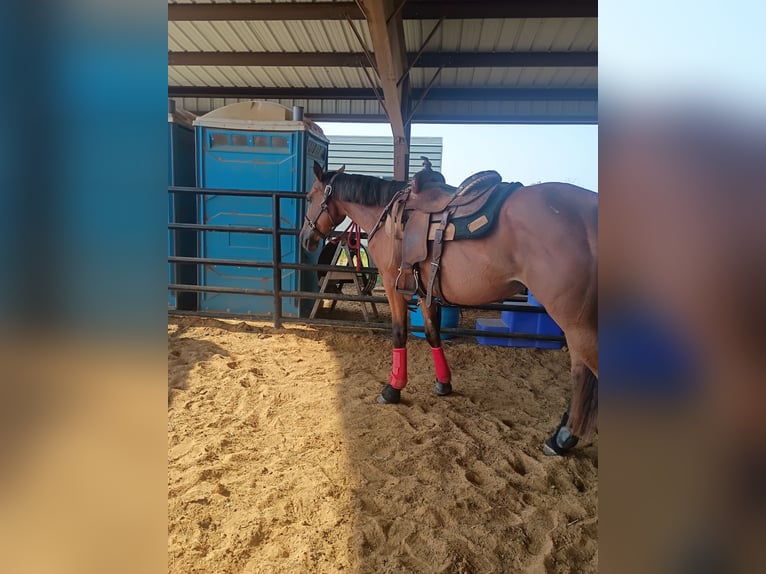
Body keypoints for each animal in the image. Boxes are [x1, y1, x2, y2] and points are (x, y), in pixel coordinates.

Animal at [299, 162, 598, 454]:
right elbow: (433, 334)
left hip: (576, 324)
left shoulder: (394, 284)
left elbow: (398, 334)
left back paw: (562, 438)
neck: (387, 218)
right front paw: (443, 383)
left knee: (584, 372)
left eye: (310, 197)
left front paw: (392, 389)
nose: (305, 239)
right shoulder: (422, 290)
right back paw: (563, 436)